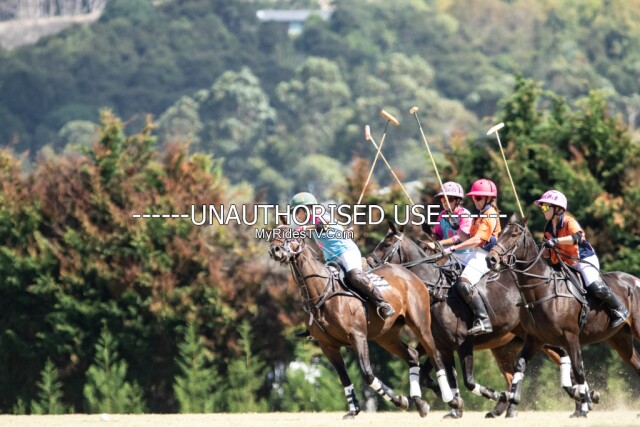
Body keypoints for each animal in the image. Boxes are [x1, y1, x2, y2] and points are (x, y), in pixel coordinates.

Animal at [268, 228, 462, 419]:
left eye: (289, 234)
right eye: (272, 235)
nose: (274, 250)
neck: (322, 291)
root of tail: (409, 273)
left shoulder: (358, 336)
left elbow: (367, 374)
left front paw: (399, 400)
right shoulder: (327, 346)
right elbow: (344, 377)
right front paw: (354, 410)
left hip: (420, 324)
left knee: (435, 354)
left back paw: (451, 400)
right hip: (386, 336)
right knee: (413, 355)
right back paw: (420, 403)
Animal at [368, 222, 597, 418]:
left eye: (386, 244)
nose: (369, 264)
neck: (436, 290)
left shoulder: (462, 342)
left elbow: (468, 381)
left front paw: (489, 398)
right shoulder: (441, 345)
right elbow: (436, 375)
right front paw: (453, 406)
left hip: (533, 335)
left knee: (562, 356)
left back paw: (582, 400)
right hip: (517, 341)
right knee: (540, 363)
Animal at [486, 214, 640, 417]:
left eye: (514, 234)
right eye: (500, 233)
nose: (491, 259)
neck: (541, 290)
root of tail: (635, 280)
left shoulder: (570, 336)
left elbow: (578, 369)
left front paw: (584, 408)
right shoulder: (534, 339)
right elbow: (520, 367)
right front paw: (512, 407)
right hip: (620, 339)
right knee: (637, 364)